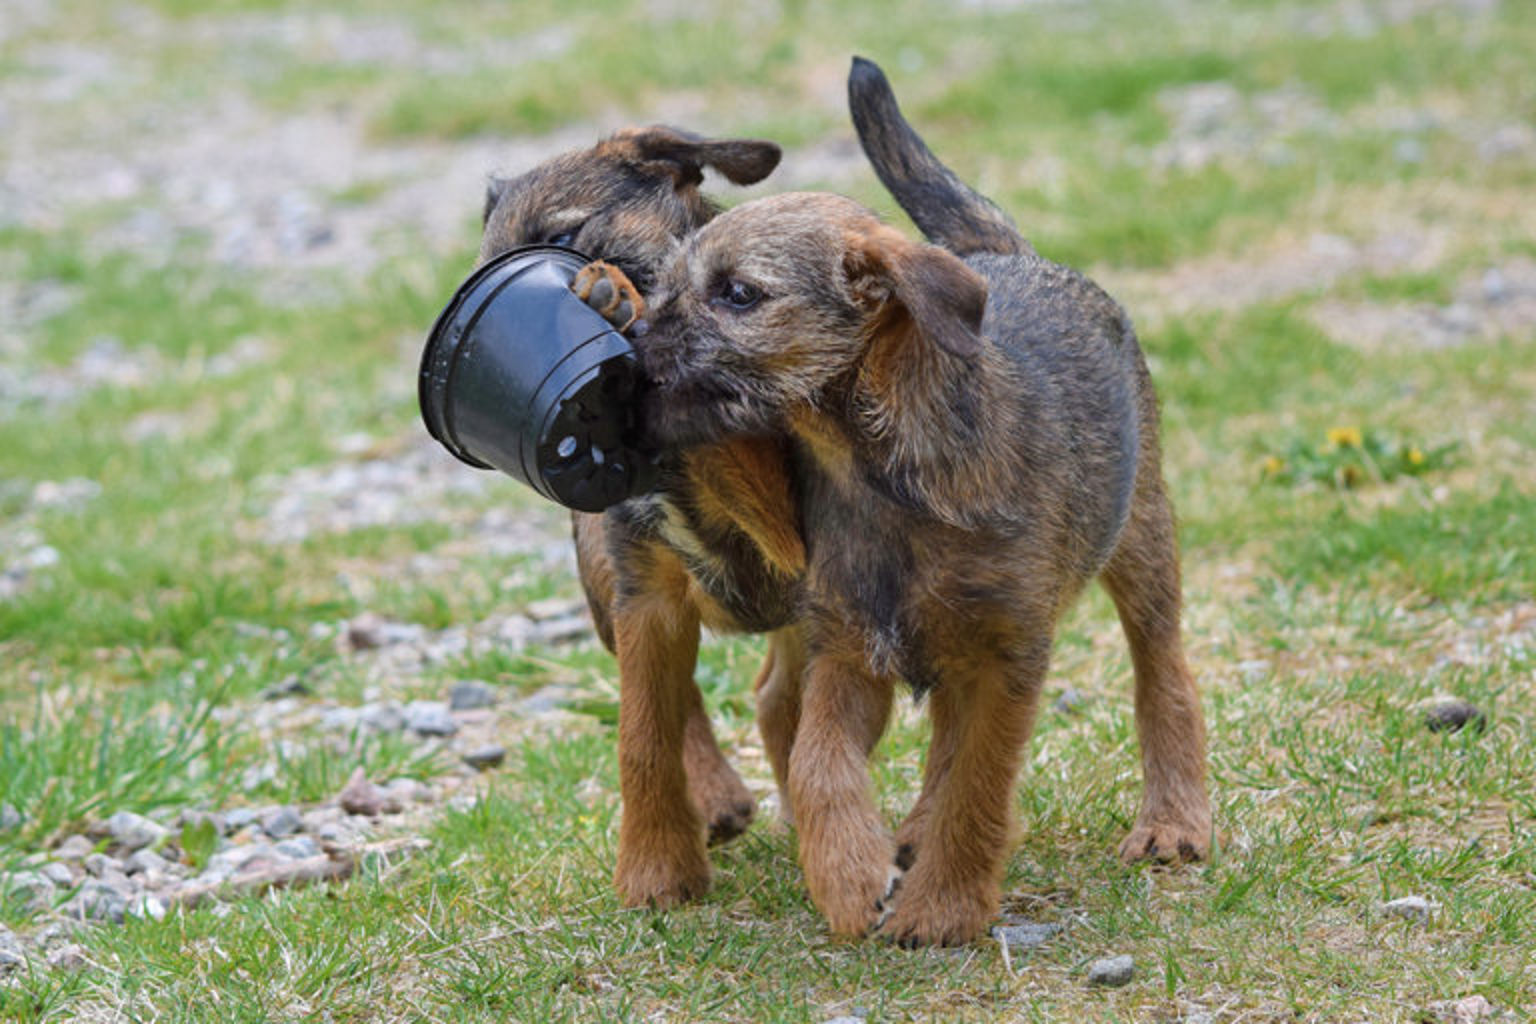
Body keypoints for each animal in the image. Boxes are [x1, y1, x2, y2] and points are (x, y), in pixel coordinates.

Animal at [482, 124, 817, 890]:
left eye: (563, 234)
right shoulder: (645, 595)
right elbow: (644, 733)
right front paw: (657, 869)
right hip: (610, 588)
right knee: (687, 701)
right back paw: (717, 800)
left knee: (778, 698)